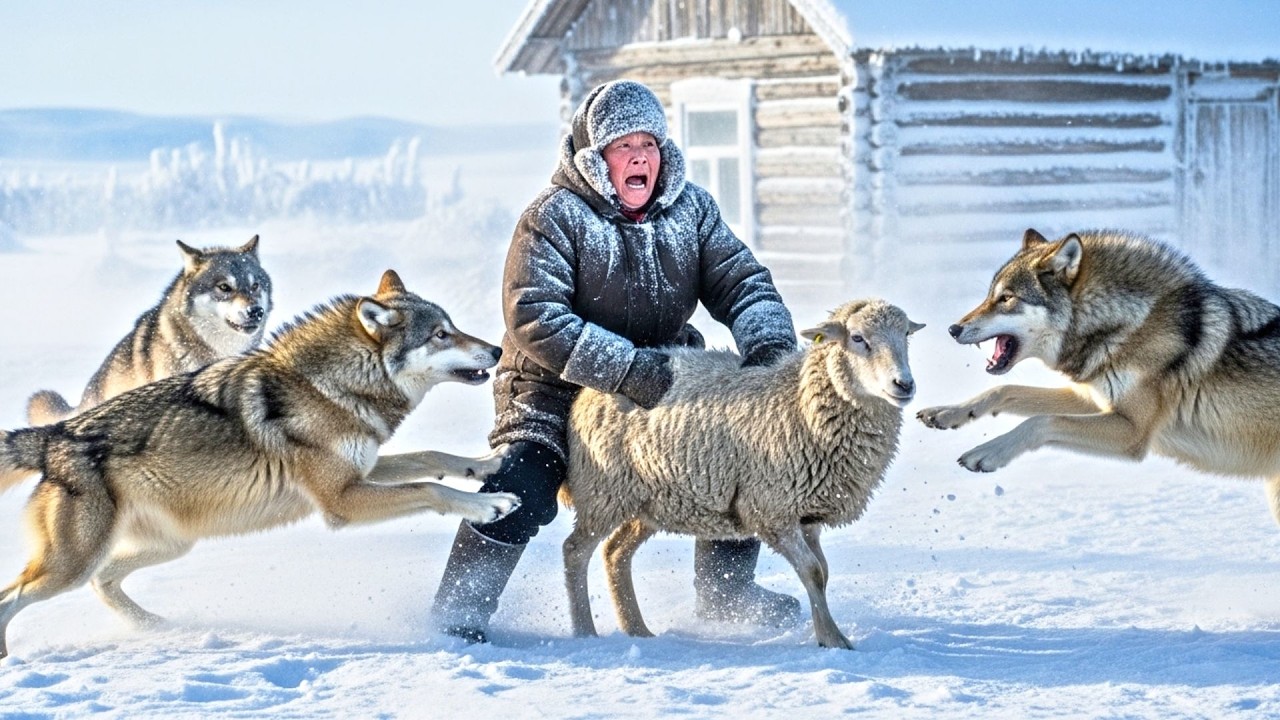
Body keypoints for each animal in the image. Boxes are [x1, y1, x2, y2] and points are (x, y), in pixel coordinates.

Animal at [560, 299, 923, 649]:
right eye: (858, 338)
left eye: (906, 335)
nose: (904, 384)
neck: (799, 402)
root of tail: (587, 392)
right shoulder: (771, 510)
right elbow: (813, 572)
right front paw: (832, 639)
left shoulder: (808, 515)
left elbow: (824, 572)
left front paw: (825, 632)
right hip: (604, 491)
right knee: (575, 551)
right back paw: (585, 630)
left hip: (651, 502)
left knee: (615, 553)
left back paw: (637, 629)